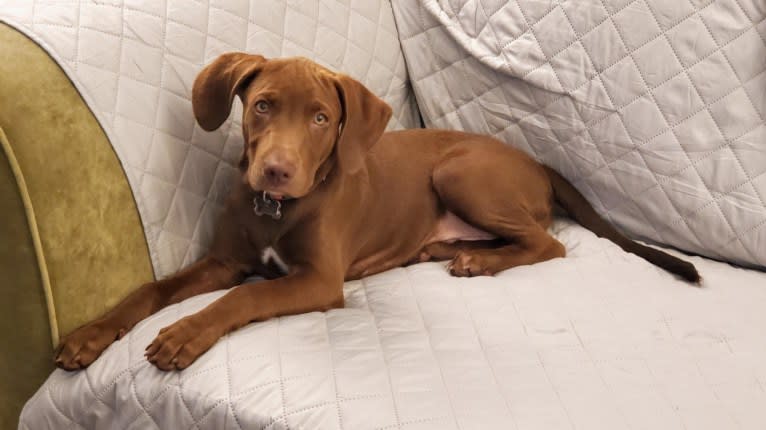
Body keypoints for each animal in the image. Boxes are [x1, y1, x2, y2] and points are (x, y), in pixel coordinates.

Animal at [54, 53, 704, 370]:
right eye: (262, 106)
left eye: (321, 118)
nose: (277, 171)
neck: (275, 210)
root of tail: (537, 161)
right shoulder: (223, 261)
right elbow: (152, 290)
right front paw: (90, 335)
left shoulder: (318, 280)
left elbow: (243, 299)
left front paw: (185, 334)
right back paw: (452, 249)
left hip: (459, 172)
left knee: (549, 242)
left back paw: (477, 262)